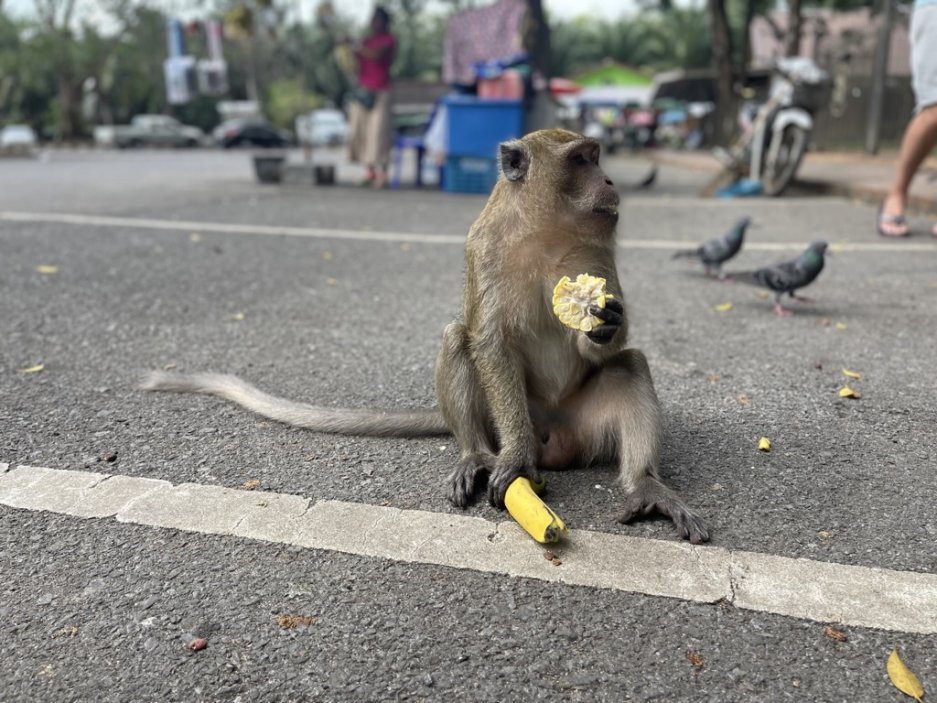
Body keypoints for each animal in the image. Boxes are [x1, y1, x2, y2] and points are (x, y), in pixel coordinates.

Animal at [143, 128, 704, 544]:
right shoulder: (485, 249)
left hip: (584, 423)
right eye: (582, 159)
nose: (608, 179)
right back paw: (478, 455)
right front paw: (515, 456)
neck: (547, 233)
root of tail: (556, 438)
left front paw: (602, 321)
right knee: (457, 337)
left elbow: (601, 340)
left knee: (629, 365)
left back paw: (644, 485)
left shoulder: (596, 252)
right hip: (507, 418)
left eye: (596, 157)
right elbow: (488, 341)